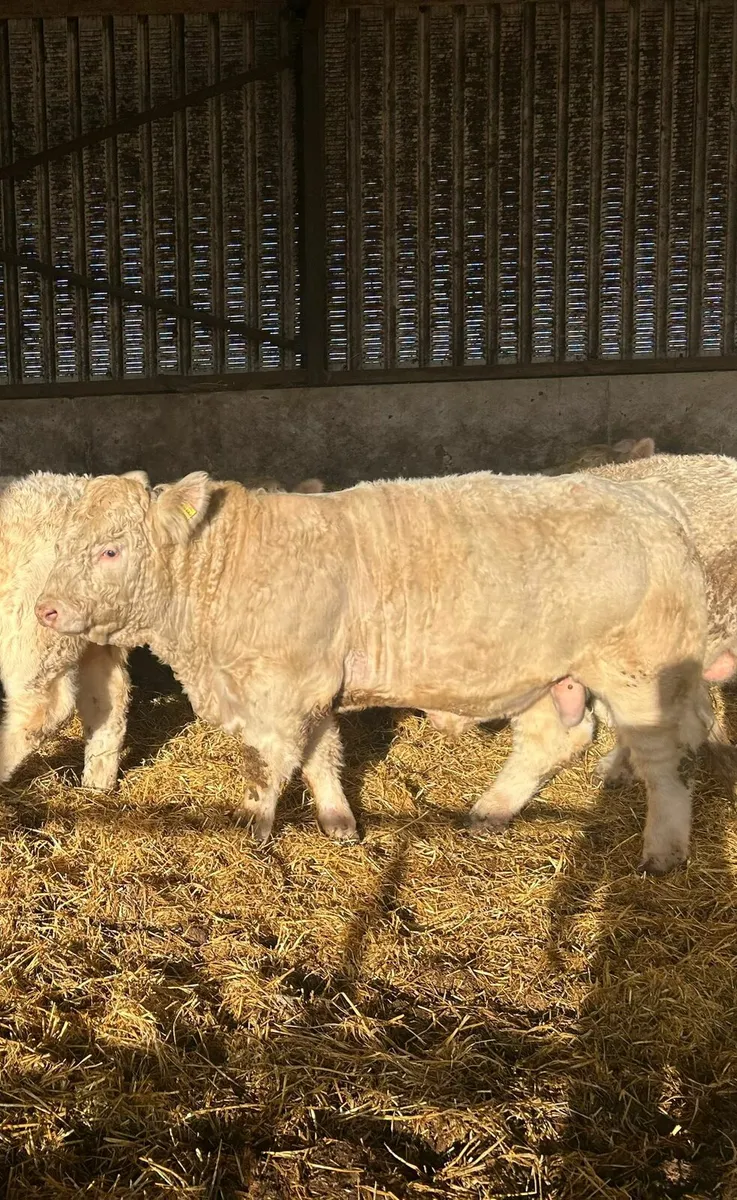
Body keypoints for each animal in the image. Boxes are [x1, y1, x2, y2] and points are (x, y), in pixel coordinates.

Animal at [36, 467, 713, 873]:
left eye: (111, 550)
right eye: (63, 545)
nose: (46, 608)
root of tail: (653, 505)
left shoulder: (283, 690)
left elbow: (267, 763)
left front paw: (252, 827)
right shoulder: (314, 688)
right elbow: (320, 756)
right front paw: (339, 822)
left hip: (640, 676)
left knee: (664, 770)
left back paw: (662, 851)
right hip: (548, 678)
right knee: (553, 740)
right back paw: (492, 809)